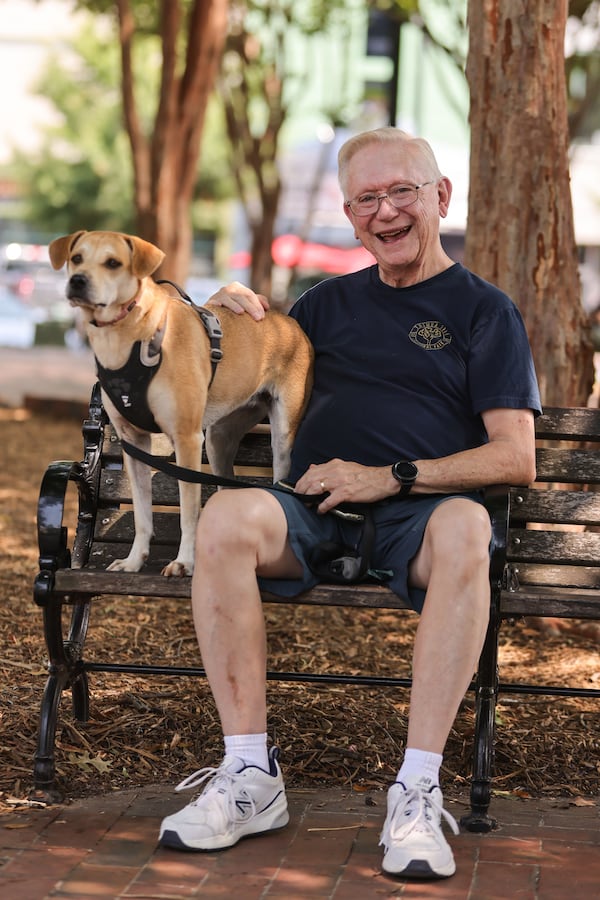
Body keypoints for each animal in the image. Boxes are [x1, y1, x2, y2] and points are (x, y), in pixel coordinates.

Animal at [49, 229, 314, 572]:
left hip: (281, 437)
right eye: (76, 258)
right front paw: (134, 560)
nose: (78, 281)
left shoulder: (186, 438)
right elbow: (142, 514)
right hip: (218, 438)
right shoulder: (133, 443)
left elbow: (188, 511)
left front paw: (185, 561)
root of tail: (290, 321)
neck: (129, 335)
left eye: (113, 263)